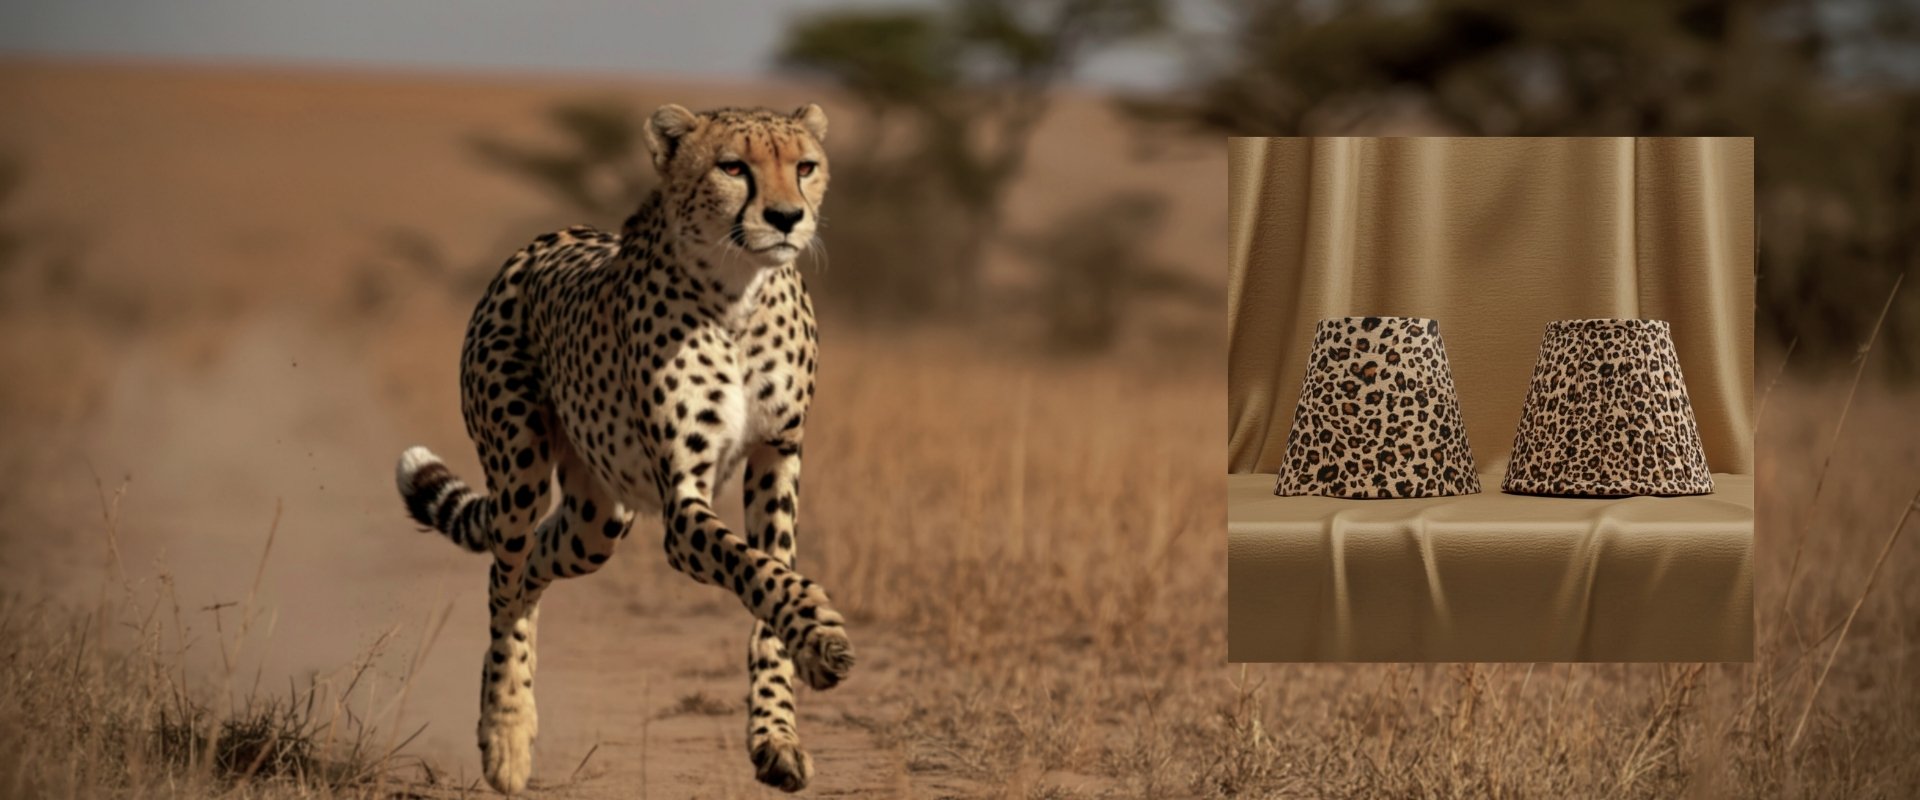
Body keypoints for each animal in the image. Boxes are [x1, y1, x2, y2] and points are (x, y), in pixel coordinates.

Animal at [393, 103, 851, 794]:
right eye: (733, 167)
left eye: (805, 166)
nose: (785, 218)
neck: (739, 291)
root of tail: (539, 241)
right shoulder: (683, 504)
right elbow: (756, 570)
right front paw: (820, 634)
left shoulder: (779, 454)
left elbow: (770, 579)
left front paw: (777, 735)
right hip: (520, 469)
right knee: (503, 579)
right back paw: (505, 736)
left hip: (597, 520)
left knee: (532, 569)